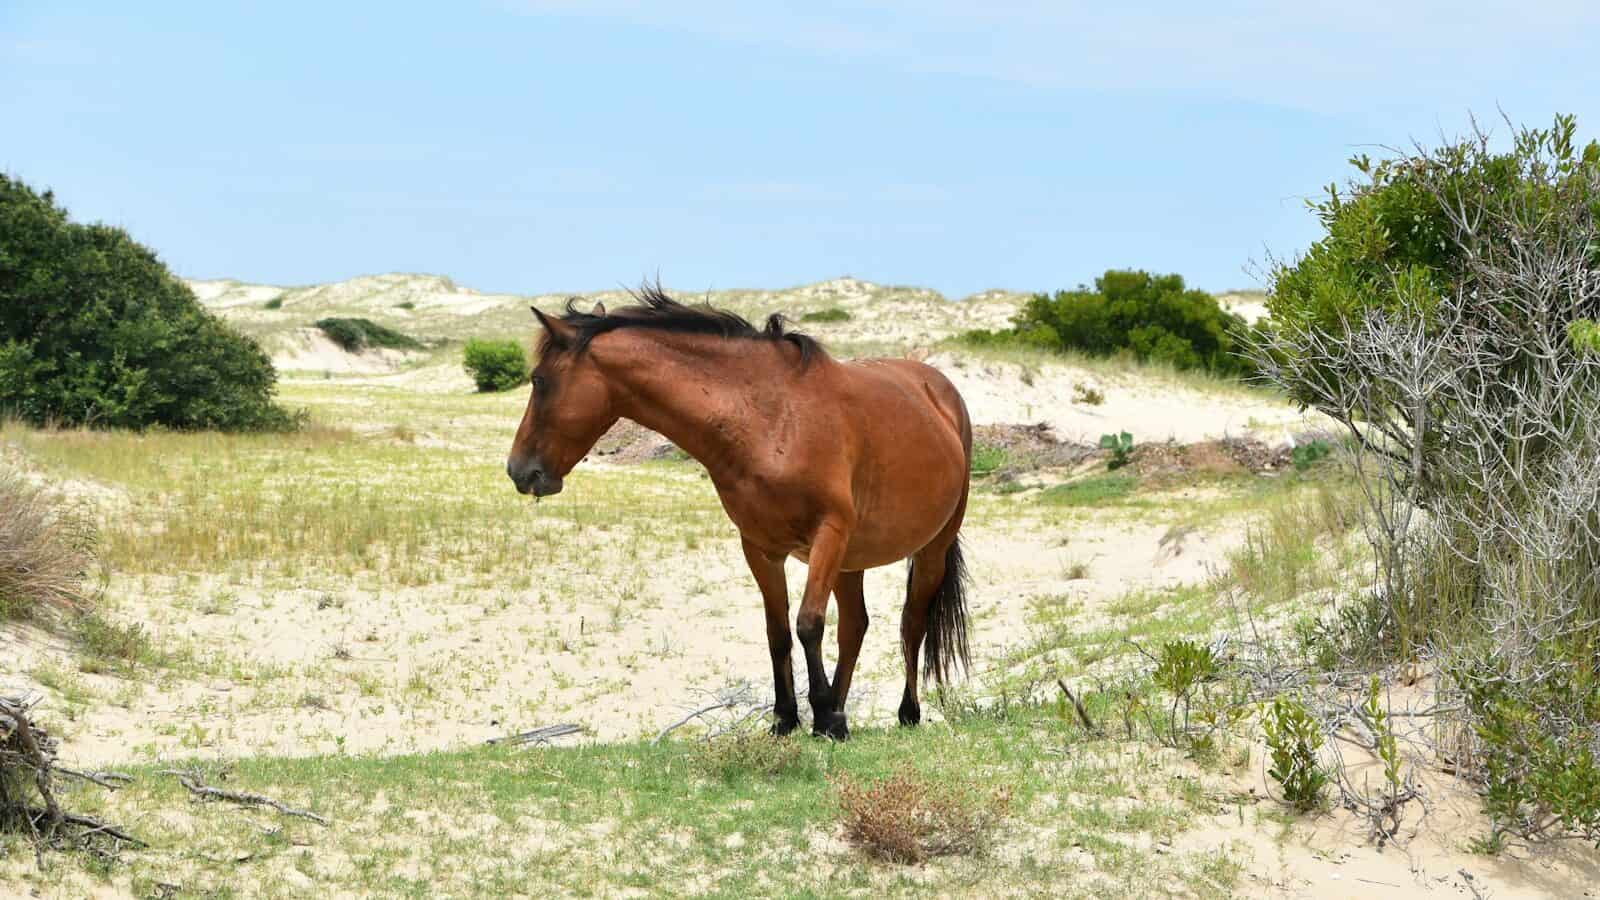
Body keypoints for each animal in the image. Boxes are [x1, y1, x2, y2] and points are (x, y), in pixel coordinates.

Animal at [506, 286, 973, 739]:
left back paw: (905, 712)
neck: (770, 418)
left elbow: (808, 623)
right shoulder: (761, 548)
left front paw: (823, 717)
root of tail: (940, 391)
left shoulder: (829, 534)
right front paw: (788, 719)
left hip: (929, 549)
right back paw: (841, 708)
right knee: (854, 627)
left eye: (539, 380)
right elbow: (778, 632)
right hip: (850, 562)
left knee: (911, 623)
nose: (519, 470)